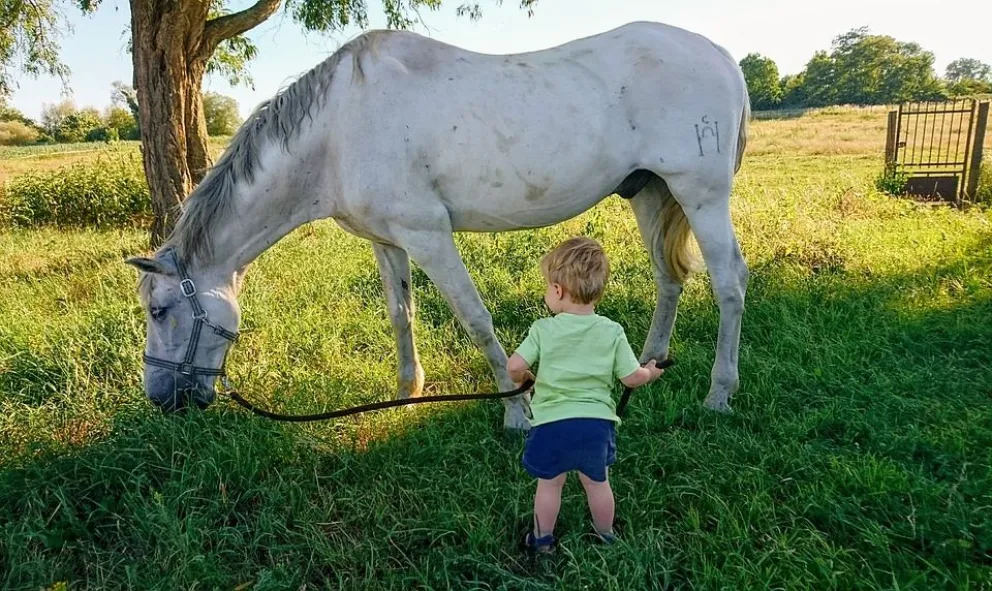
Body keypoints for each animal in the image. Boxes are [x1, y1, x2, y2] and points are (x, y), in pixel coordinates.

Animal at [125, 21, 751, 430]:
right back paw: (646, 367)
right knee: (669, 279)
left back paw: (720, 394)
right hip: (651, 192)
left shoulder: (428, 236)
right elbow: (400, 315)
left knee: (729, 283)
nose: (160, 398)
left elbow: (475, 319)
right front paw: (407, 392)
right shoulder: (386, 242)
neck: (338, 130)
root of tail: (721, 54)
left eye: (159, 310)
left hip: (700, 195)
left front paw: (517, 411)